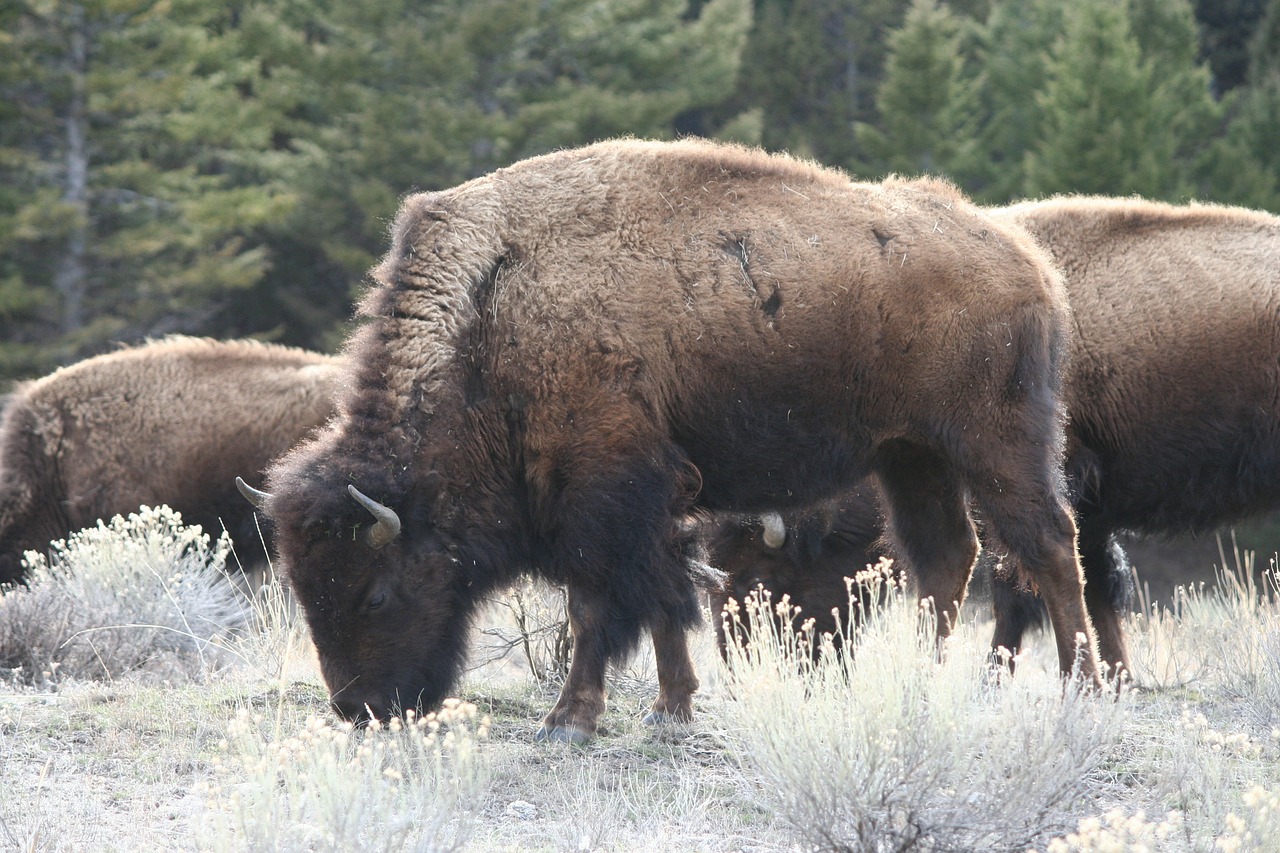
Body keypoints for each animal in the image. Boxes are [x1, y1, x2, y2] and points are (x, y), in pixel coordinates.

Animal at [249, 136, 1100, 742]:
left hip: (996, 443)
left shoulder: (603, 492)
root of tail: (1029, 263)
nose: (361, 708)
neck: (495, 314)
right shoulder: (657, 501)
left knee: (1049, 546)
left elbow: (599, 603)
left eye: (378, 589)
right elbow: (665, 600)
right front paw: (672, 707)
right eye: (305, 587)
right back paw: (924, 681)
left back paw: (1086, 686)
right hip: (910, 455)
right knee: (947, 556)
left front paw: (568, 722)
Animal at [711, 194, 1280, 676]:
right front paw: (1119, 679)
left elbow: (1025, 590)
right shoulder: (1087, 513)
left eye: (758, 575)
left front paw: (997, 678)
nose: (738, 661)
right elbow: (1094, 590)